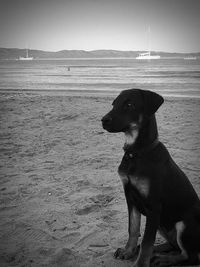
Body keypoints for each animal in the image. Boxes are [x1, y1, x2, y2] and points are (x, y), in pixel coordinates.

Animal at [101, 89, 200, 266]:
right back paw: (154, 251)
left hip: (184, 224)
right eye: (114, 104)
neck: (137, 153)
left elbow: (147, 240)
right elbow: (133, 229)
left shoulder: (154, 206)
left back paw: (163, 259)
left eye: (129, 104)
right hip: (162, 224)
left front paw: (140, 263)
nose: (103, 120)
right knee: (174, 245)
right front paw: (128, 251)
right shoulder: (130, 197)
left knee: (189, 256)